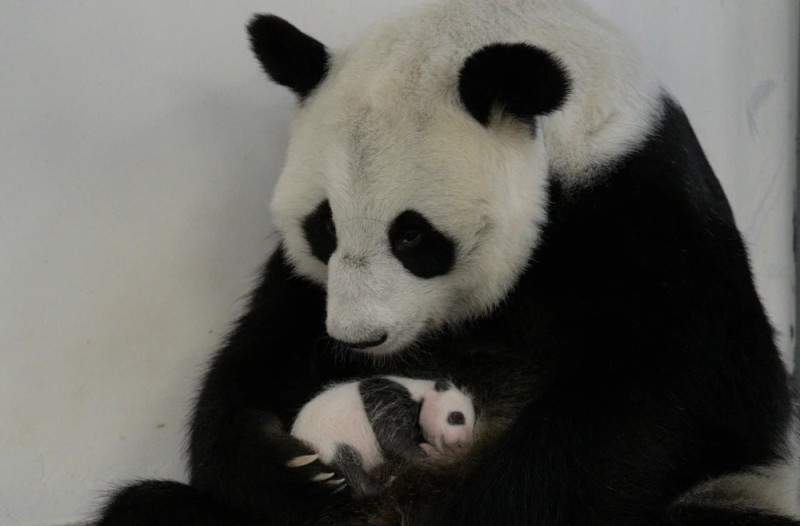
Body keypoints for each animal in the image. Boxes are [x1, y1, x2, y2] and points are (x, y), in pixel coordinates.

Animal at [95, 1, 800, 526]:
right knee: (146, 507)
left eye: (412, 236)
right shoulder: (305, 288)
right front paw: (292, 469)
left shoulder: (644, 202)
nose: (360, 339)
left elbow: (688, 390)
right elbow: (259, 359)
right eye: (324, 226)